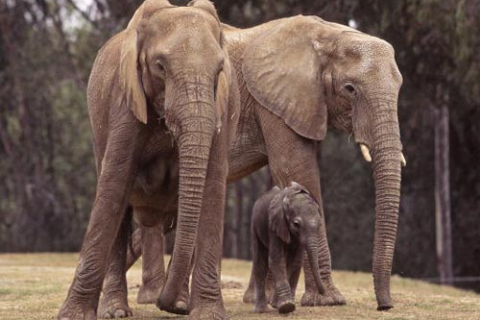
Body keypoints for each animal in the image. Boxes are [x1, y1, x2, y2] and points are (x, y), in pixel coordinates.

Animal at [57, 0, 240, 320]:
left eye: (219, 69)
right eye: (160, 66)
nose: (163, 304)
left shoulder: (222, 107)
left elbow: (212, 188)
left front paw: (206, 313)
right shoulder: (124, 101)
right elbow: (113, 187)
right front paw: (73, 315)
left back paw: (178, 303)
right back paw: (117, 311)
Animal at [251, 181, 326, 314]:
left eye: (319, 224)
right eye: (296, 224)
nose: (323, 292)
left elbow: (296, 262)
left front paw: (286, 306)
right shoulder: (274, 224)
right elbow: (276, 259)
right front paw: (287, 306)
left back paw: (274, 304)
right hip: (255, 224)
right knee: (260, 262)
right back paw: (262, 310)